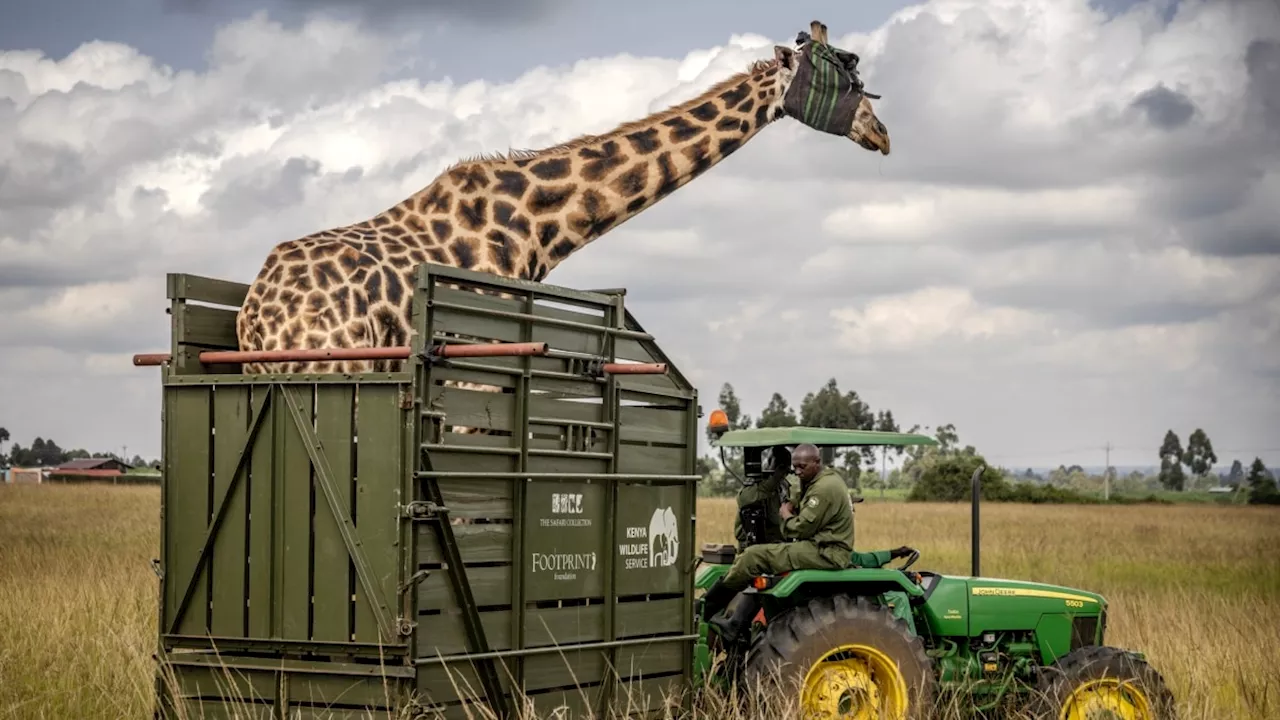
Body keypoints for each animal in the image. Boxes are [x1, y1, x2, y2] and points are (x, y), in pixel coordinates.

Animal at [232, 19, 890, 371]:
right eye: (842, 71)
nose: (882, 133)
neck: (537, 225)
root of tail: (257, 315)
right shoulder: (478, 365)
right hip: (329, 361)